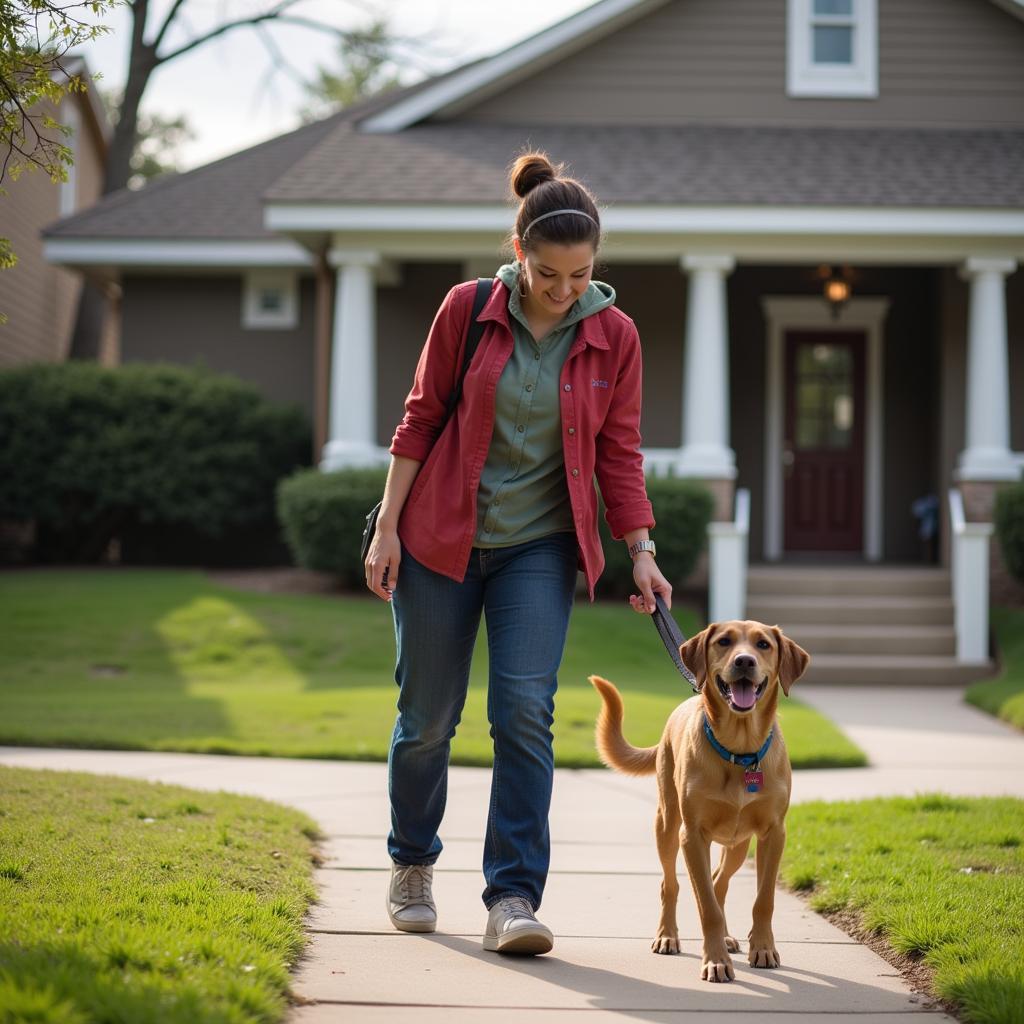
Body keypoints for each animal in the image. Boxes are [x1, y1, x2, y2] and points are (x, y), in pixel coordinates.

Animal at [593, 618, 806, 978]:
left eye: (763, 644)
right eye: (724, 641)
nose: (744, 661)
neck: (740, 751)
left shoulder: (774, 834)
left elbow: (763, 900)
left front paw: (763, 948)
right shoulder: (692, 836)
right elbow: (706, 905)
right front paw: (715, 960)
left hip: (738, 846)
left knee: (720, 881)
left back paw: (729, 936)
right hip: (667, 826)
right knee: (671, 885)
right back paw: (667, 936)